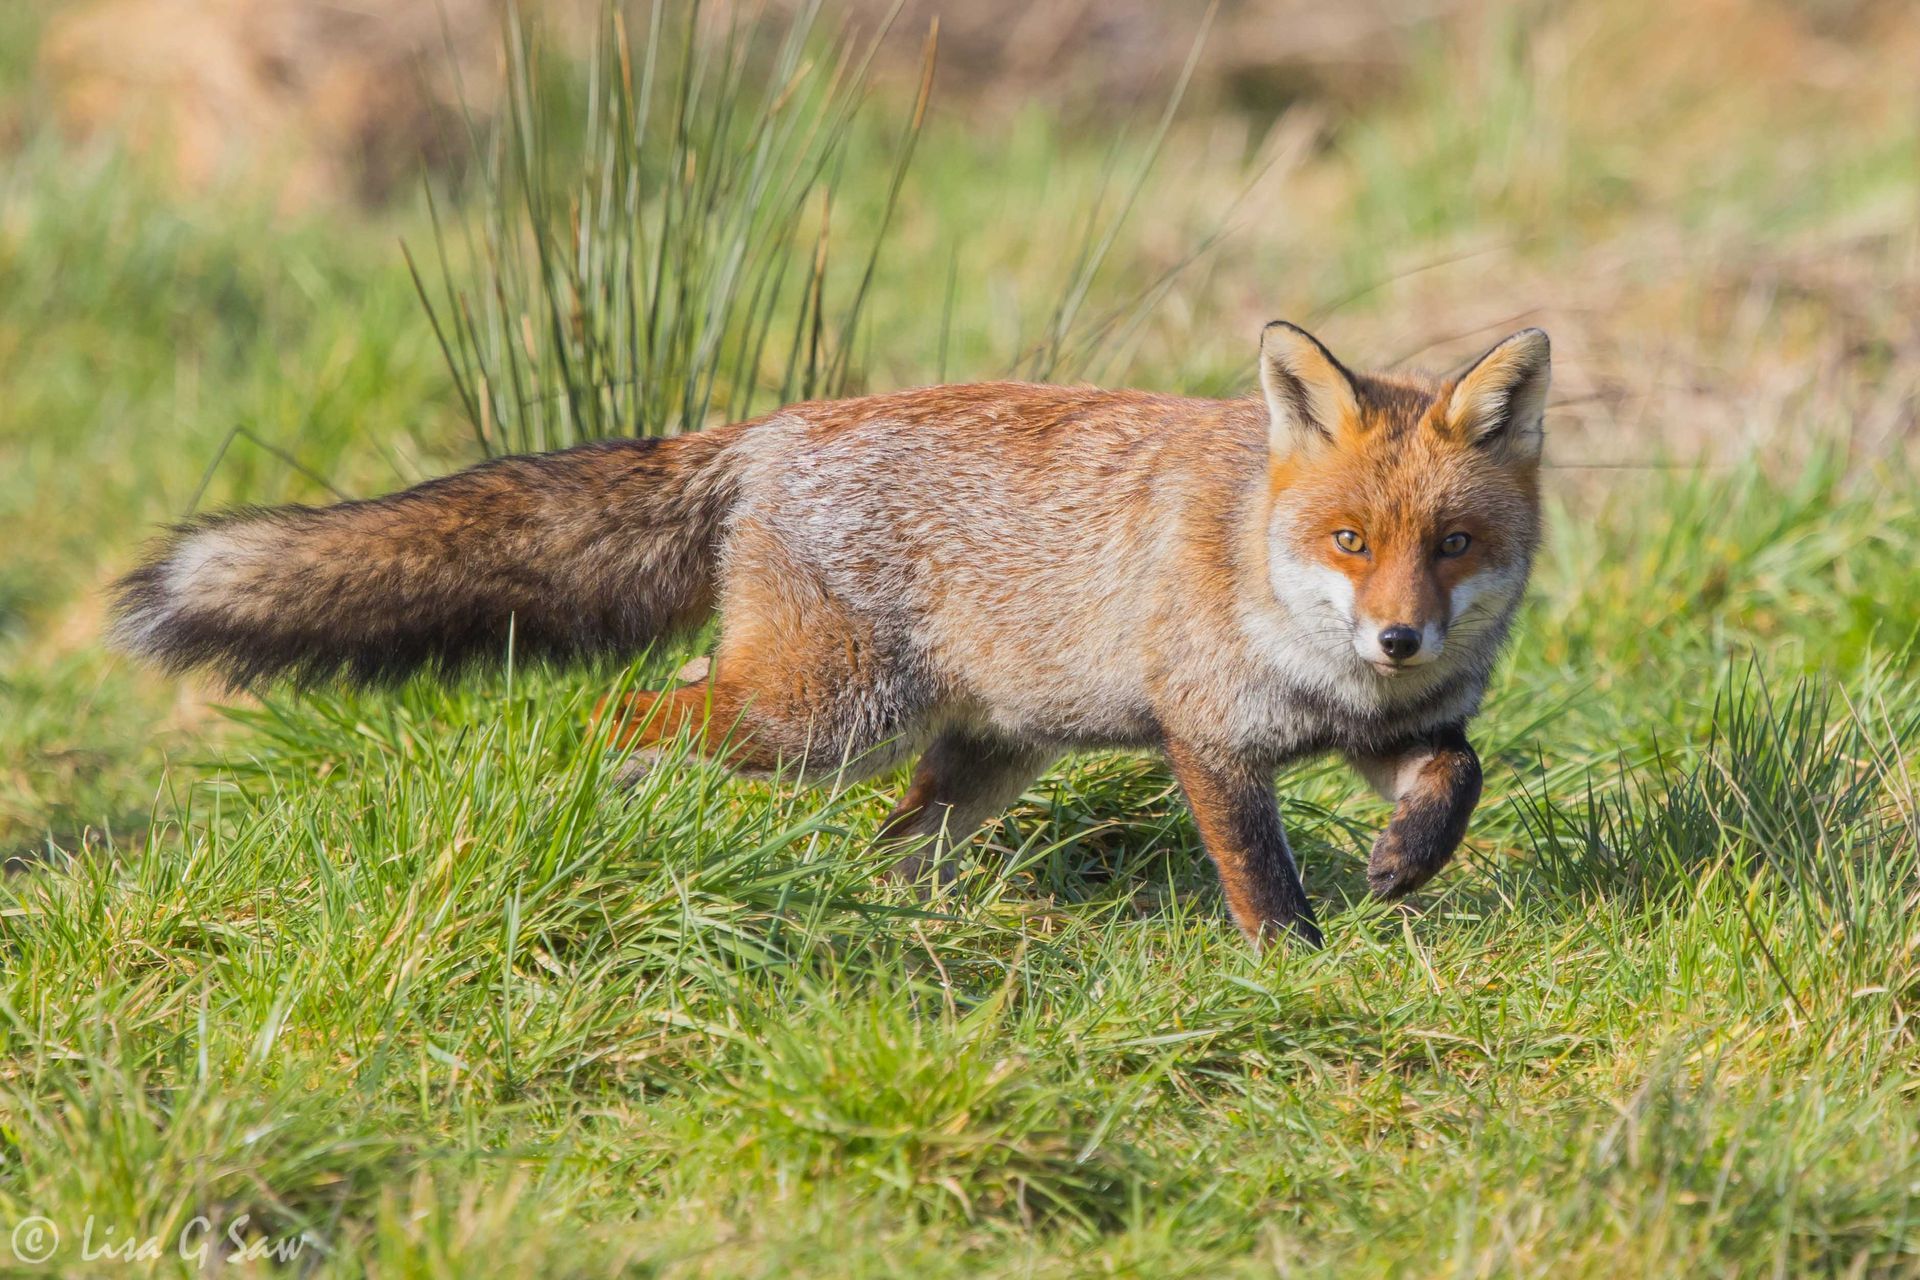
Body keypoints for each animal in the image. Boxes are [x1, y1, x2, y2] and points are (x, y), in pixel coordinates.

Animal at [110, 321, 1548, 948]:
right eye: (1349, 541)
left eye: (1451, 545)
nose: (1400, 637)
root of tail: (773, 426)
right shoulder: (1212, 737)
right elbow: (1259, 873)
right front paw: (1292, 964)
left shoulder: (1389, 730)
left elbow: (1460, 771)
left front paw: (1405, 862)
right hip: (822, 717)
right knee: (631, 708)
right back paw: (603, 806)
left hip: (972, 758)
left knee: (885, 851)